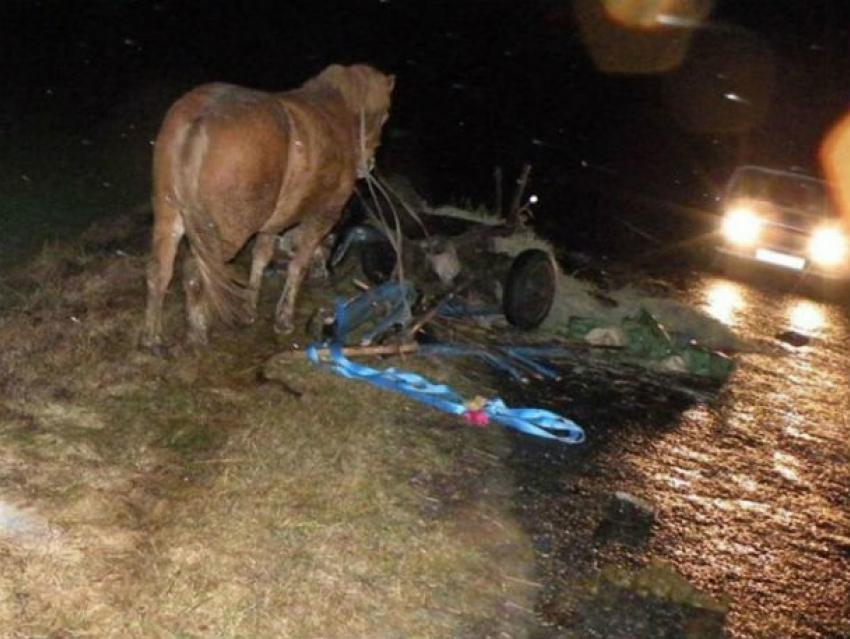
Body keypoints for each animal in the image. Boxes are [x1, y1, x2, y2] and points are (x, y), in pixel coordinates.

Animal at [142, 65, 394, 350]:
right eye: (386, 114)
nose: (367, 166)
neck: (336, 112)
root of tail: (199, 120)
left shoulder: (273, 222)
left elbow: (260, 258)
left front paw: (250, 307)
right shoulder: (324, 213)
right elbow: (298, 263)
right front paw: (283, 318)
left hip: (169, 215)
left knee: (159, 270)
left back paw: (152, 338)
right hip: (223, 232)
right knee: (196, 272)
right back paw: (197, 332)